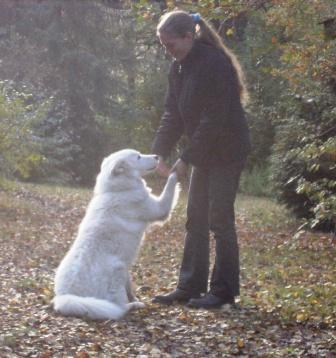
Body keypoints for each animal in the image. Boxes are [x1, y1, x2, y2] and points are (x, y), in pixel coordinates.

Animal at [52, 150, 178, 320]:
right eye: (138, 156)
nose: (157, 157)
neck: (117, 190)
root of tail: (66, 296)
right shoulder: (160, 209)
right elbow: (169, 189)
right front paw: (175, 172)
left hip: (123, 269)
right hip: (117, 269)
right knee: (119, 308)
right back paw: (134, 306)